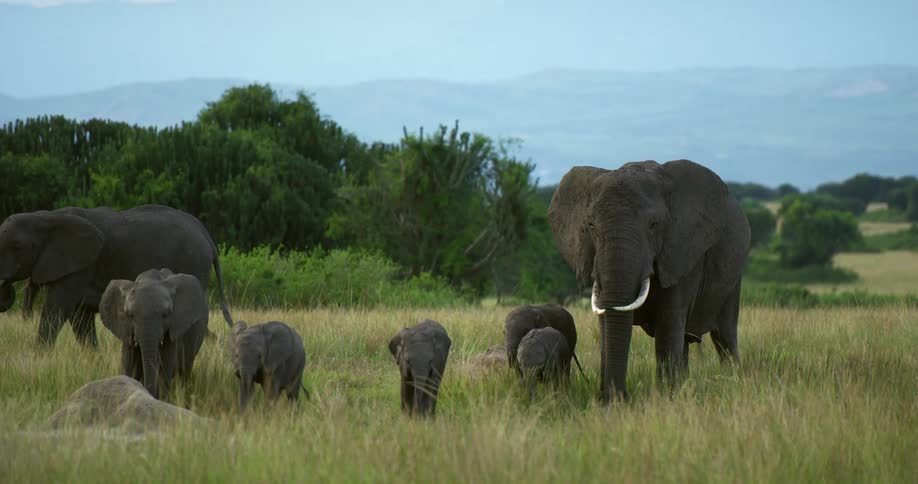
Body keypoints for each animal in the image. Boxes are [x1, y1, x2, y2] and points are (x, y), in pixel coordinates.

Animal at [0, 205, 233, 348]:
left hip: (192, 263)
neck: (44, 217)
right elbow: (80, 317)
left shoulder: (79, 266)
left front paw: (39, 353)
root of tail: (206, 235)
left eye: (16, 246)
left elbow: (57, 309)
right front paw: (93, 356)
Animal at [99, 269, 210, 400]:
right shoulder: (126, 330)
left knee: (183, 372)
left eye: (165, 315)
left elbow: (166, 365)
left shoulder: (174, 328)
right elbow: (130, 366)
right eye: (130, 315)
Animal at [548, 159, 751, 403]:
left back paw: (732, 382)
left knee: (725, 337)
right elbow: (606, 324)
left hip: (734, 278)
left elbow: (668, 327)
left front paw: (665, 400)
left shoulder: (680, 254)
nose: (622, 397)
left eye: (653, 225)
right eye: (591, 226)